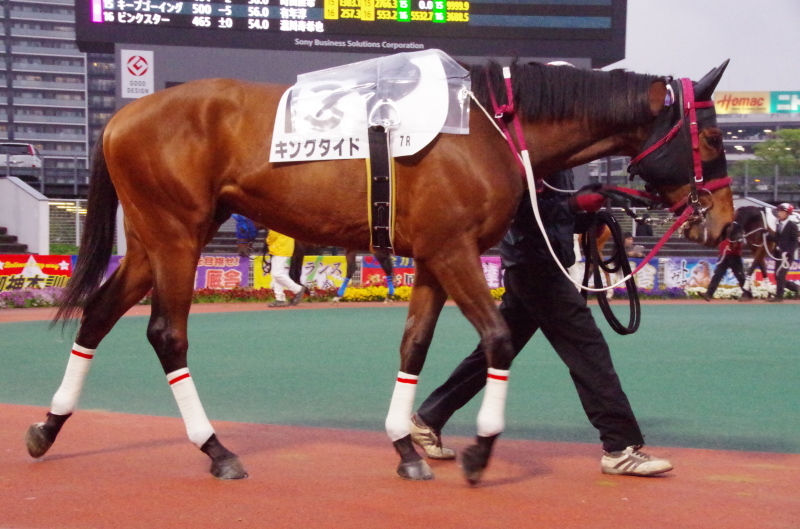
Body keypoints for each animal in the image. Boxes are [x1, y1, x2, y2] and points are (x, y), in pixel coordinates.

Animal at [28, 56, 736, 482]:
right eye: (709, 139)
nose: (726, 224)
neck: (486, 124)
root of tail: (120, 116)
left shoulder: (433, 257)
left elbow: (414, 345)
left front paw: (406, 444)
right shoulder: (453, 251)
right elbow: (498, 338)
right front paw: (480, 449)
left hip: (154, 243)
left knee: (97, 315)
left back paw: (46, 428)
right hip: (177, 238)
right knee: (166, 335)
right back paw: (217, 449)